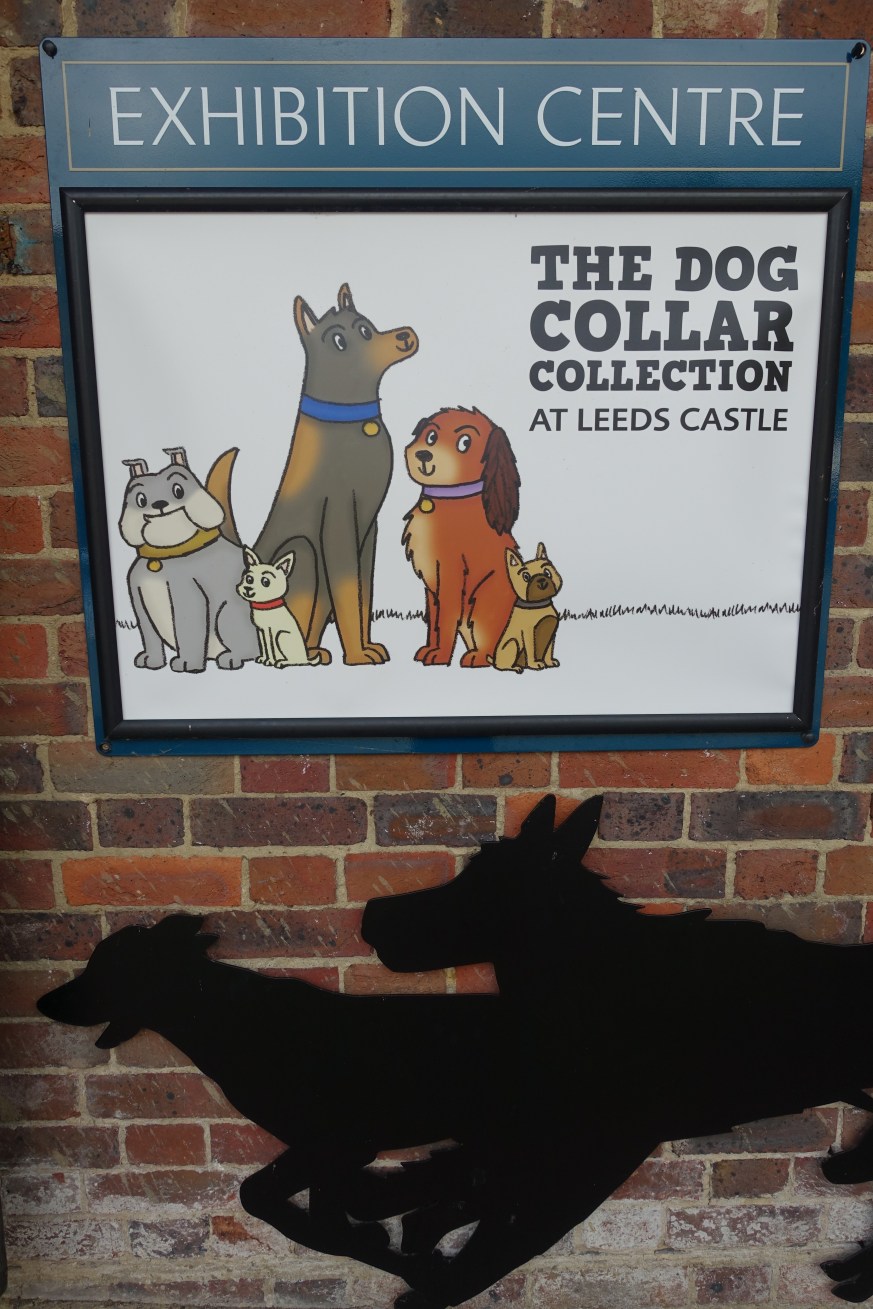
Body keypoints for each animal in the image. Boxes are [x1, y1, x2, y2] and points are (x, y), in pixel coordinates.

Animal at [119, 447, 258, 673]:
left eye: (178, 490)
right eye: (140, 500)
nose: (159, 504)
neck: (166, 553)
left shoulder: (187, 592)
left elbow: (188, 630)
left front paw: (188, 664)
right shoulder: (138, 597)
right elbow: (149, 634)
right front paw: (152, 660)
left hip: (227, 615)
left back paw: (231, 657)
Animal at [208, 284, 419, 666]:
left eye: (366, 326)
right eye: (339, 340)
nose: (405, 336)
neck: (351, 421)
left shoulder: (368, 530)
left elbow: (364, 595)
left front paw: (367, 646)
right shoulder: (337, 523)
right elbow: (349, 595)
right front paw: (357, 656)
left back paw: (315, 651)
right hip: (303, 555)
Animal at [402, 407, 520, 666]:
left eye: (464, 443)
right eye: (431, 436)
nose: (424, 454)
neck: (449, 498)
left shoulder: (450, 574)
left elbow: (445, 619)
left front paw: (440, 656)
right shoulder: (431, 586)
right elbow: (434, 621)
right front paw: (430, 649)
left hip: (483, 603)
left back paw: (477, 657)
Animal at [490, 544, 562, 672]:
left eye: (547, 572)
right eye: (526, 576)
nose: (541, 580)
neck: (538, 605)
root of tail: (494, 660)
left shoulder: (551, 631)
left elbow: (549, 650)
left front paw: (549, 662)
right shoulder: (529, 632)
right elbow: (531, 650)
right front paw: (535, 664)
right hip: (512, 643)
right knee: (502, 665)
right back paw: (515, 668)